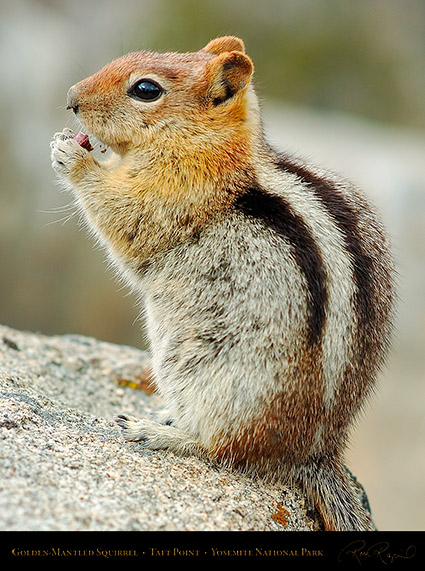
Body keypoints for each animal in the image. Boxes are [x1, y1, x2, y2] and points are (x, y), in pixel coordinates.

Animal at [52, 38, 394, 536]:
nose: (72, 99)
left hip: (213, 382)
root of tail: (313, 455)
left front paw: (74, 157)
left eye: (146, 89)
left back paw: (159, 432)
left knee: (224, 451)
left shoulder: (170, 197)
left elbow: (125, 217)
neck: (210, 148)